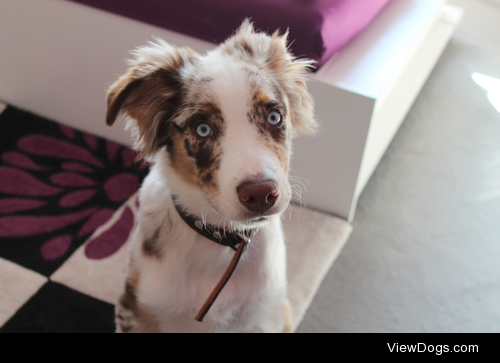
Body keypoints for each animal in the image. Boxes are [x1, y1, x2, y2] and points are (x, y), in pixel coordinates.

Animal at [105, 19, 316, 332]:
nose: (261, 194)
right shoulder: (136, 311)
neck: (222, 241)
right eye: (203, 128)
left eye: (274, 117)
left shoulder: (266, 316)